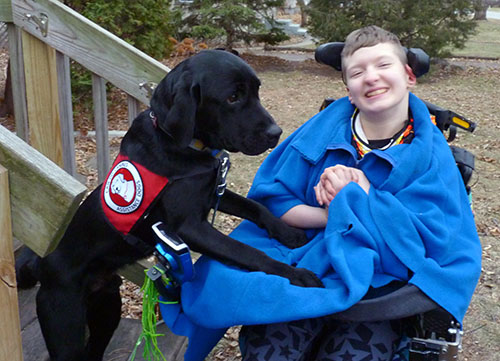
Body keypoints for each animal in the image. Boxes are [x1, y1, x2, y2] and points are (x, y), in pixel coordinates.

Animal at [15, 48, 322, 360]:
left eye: (257, 91)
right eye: (233, 97)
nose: (276, 132)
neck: (186, 146)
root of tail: (42, 263)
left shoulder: (213, 193)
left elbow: (256, 207)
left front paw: (288, 233)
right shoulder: (188, 228)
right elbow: (246, 252)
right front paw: (295, 275)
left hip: (108, 306)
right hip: (64, 322)